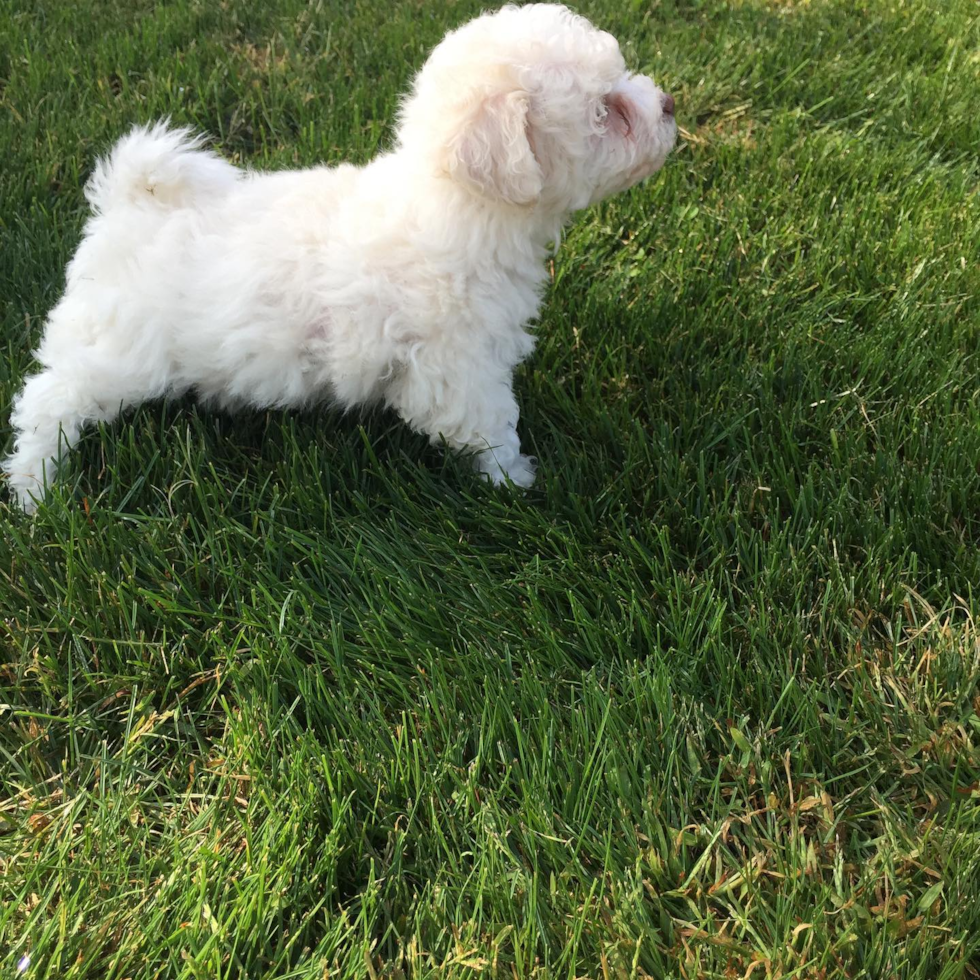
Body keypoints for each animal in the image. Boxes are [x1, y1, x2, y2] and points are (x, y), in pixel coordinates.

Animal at [3, 3, 676, 512]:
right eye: (606, 111)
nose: (668, 104)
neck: (456, 203)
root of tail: (126, 200)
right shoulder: (457, 367)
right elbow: (487, 424)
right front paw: (518, 481)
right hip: (118, 354)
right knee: (48, 399)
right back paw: (34, 490)